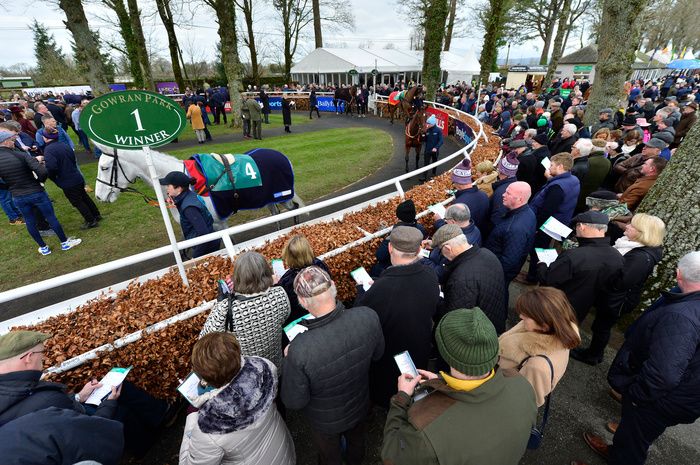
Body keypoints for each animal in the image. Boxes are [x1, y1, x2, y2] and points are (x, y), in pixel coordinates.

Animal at [93, 141, 304, 228]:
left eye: (104, 167)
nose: (99, 196)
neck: (187, 183)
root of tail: (281, 155)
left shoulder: (218, 222)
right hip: (268, 198)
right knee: (276, 214)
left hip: (283, 195)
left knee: (293, 208)